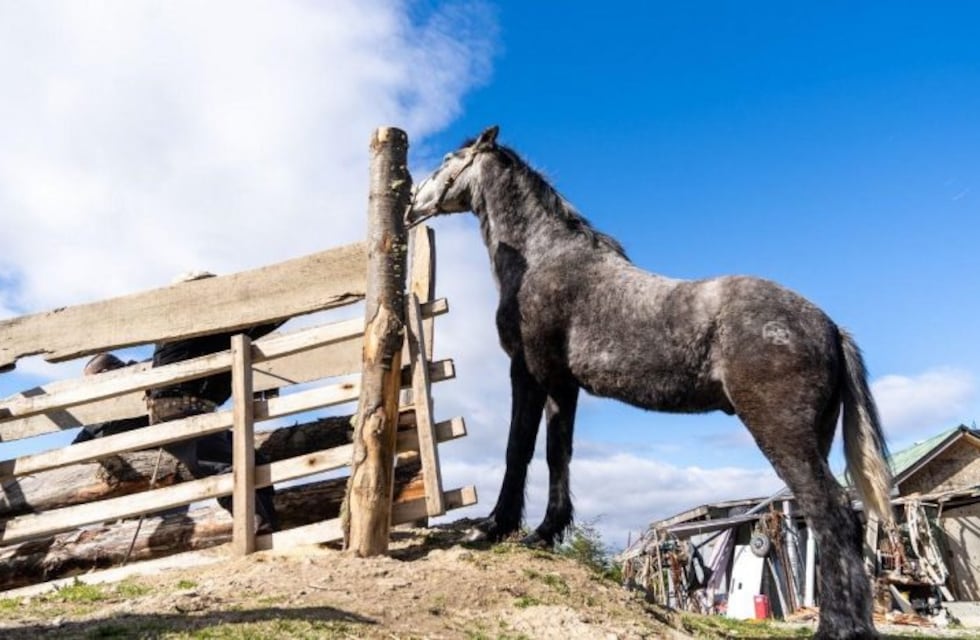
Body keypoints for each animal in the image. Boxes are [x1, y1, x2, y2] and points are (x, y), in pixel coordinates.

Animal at [408, 126, 892, 639]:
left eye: (447, 159)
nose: (413, 202)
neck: (545, 259)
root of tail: (831, 327)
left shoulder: (529, 372)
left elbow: (517, 448)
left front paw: (496, 525)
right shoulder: (562, 384)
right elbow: (558, 453)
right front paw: (545, 532)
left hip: (783, 433)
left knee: (831, 513)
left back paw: (837, 627)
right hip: (814, 436)